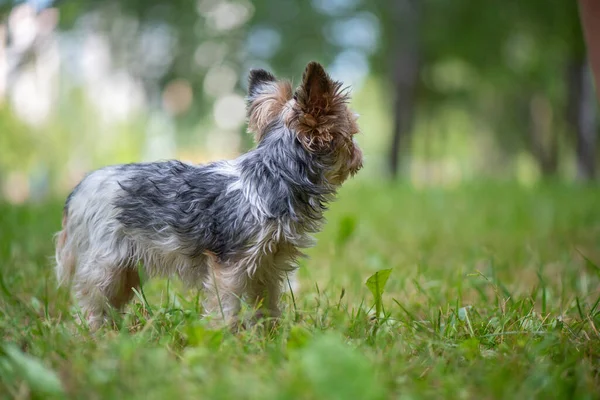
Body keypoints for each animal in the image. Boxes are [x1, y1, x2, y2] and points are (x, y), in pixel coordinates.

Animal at [56, 61, 364, 328]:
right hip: (106, 263)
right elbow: (225, 307)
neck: (274, 175)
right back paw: (93, 334)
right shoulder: (230, 267)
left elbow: (267, 304)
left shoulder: (267, 265)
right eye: (352, 134)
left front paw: (270, 334)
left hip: (124, 269)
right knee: (92, 304)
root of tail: (79, 190)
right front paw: (226, 338)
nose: (359, 157)